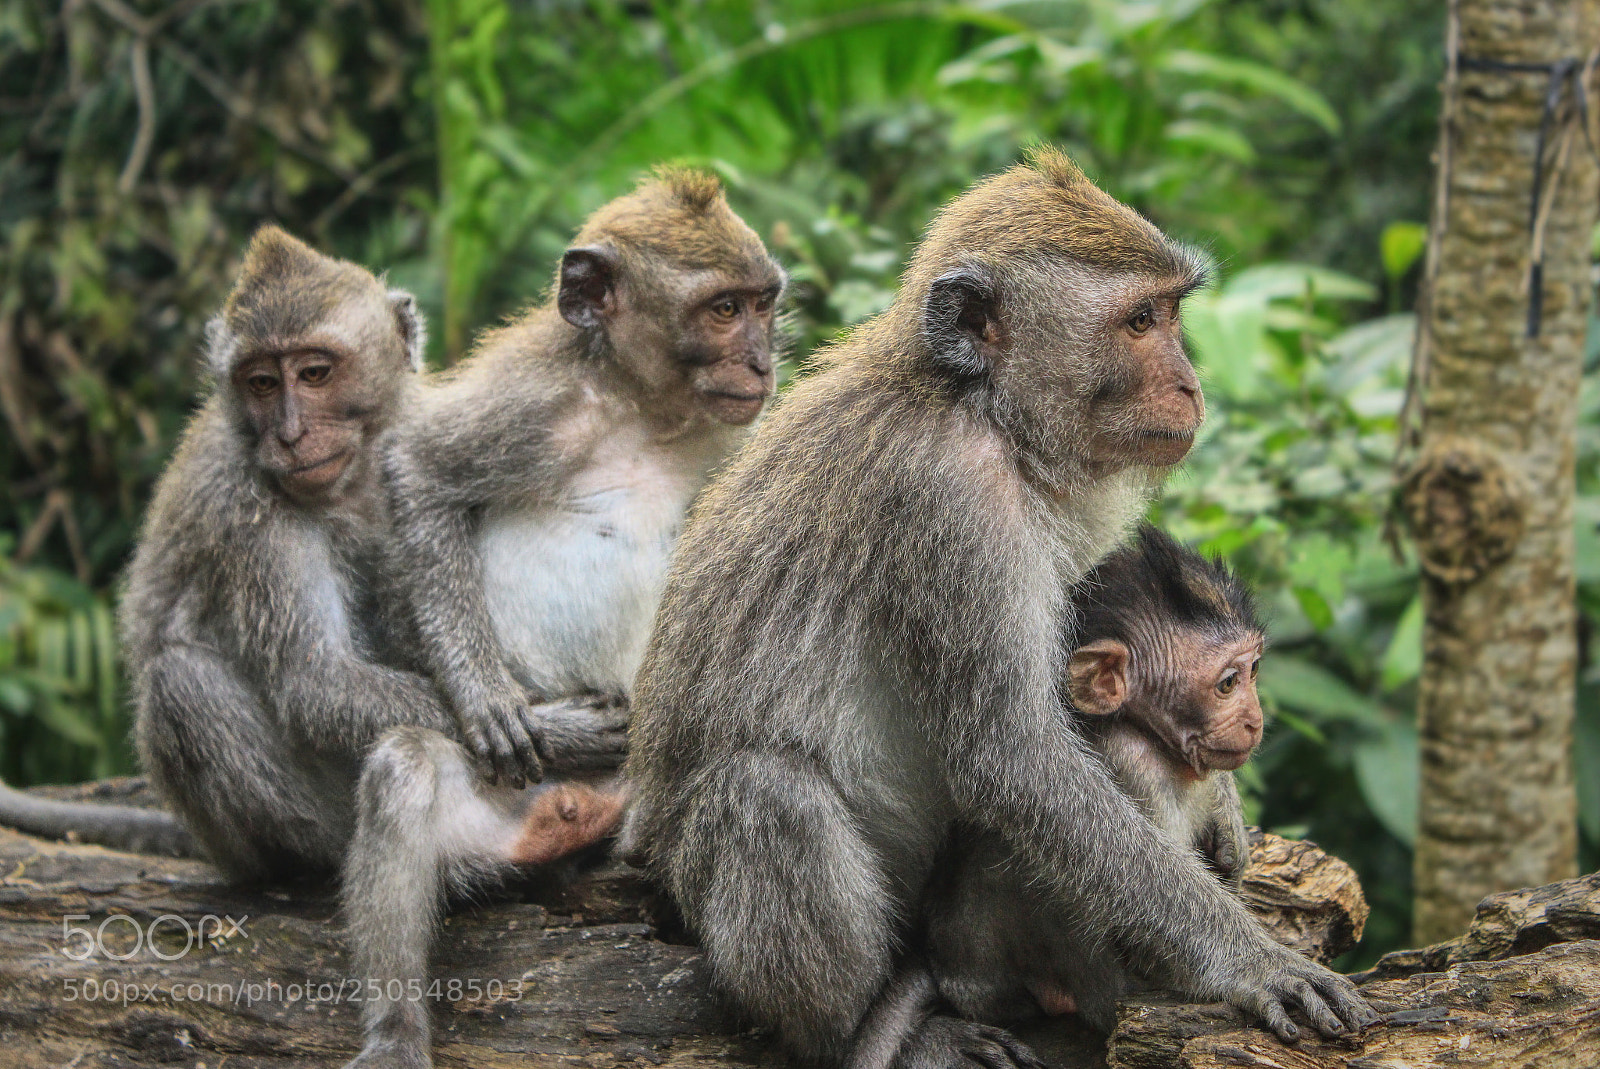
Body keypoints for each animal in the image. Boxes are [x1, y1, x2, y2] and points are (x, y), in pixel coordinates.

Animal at [339, 168, 786, 1069]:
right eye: (724, 309)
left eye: (765, 303)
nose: (763, 358)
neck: (643, 408)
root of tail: (579, 811)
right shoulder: (531, 400)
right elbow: (417, 474)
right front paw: (490, 700)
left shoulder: (742, 434)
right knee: (404, 771)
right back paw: (396, 1031)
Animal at [623, 148, 1374, 1069]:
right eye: (1140, 321)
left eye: (1172, 313)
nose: (1191, 384)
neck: (980, 408)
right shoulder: (950, 503)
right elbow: (1016, 756)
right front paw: (1250, 960)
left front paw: (1229, 812)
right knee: (768, 793)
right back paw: (862, 1034)